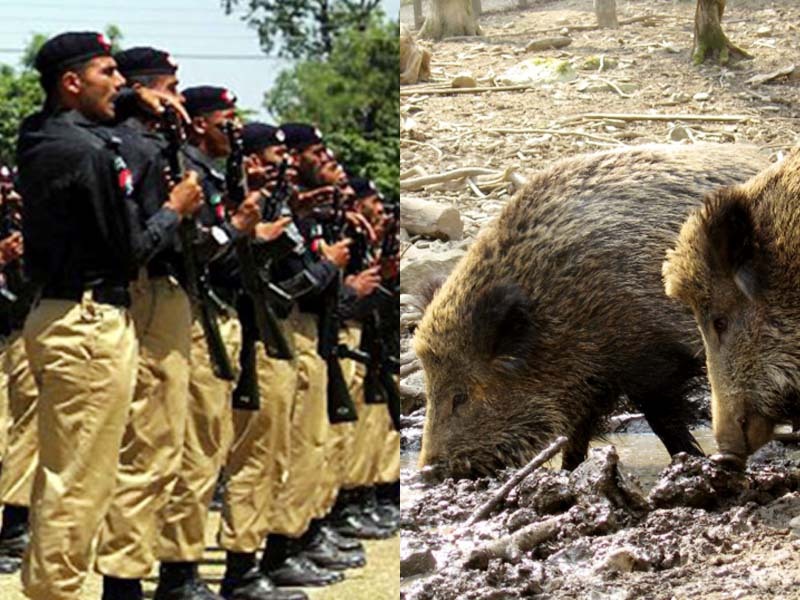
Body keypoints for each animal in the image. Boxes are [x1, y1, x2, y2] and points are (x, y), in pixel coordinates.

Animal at [414, 143, 769, 478]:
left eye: (461, 396)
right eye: (429, 391)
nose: (426, 471)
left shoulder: (651, 359)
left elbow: (662, 419)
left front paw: (690, 459)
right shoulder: (589, 385)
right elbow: (576, 433)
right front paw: (568, 472)